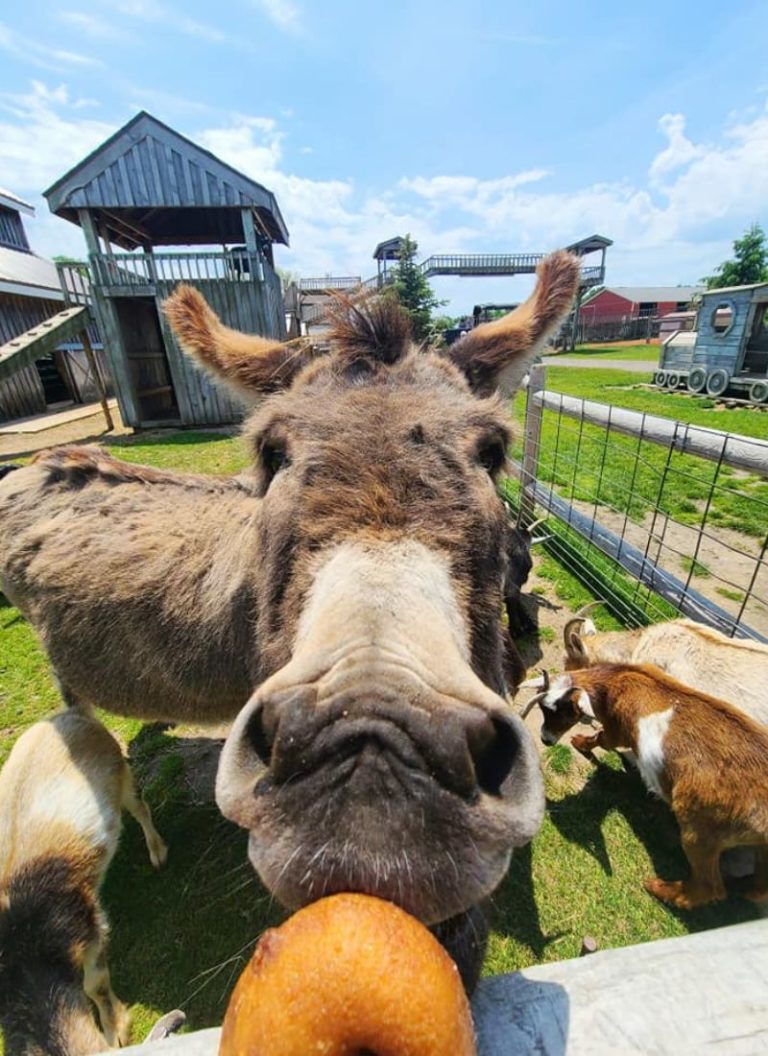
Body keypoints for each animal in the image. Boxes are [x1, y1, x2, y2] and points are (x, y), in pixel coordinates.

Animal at [0, 713, 166, 1051]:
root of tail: (71, 715)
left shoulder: (89, 928)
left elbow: (95, 984)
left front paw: (116, 1031)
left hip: (121, 775)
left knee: (140, 808)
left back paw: (157, 853)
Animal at [526, 667, 768, 908]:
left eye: (567, 713)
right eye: (543, 708)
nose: (545, 739)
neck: (618, 681)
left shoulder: (615, 730)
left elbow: (602, 739)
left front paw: (579, 743)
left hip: (701, 829)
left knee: (708, 887)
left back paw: (658, 888)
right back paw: (749, 891)